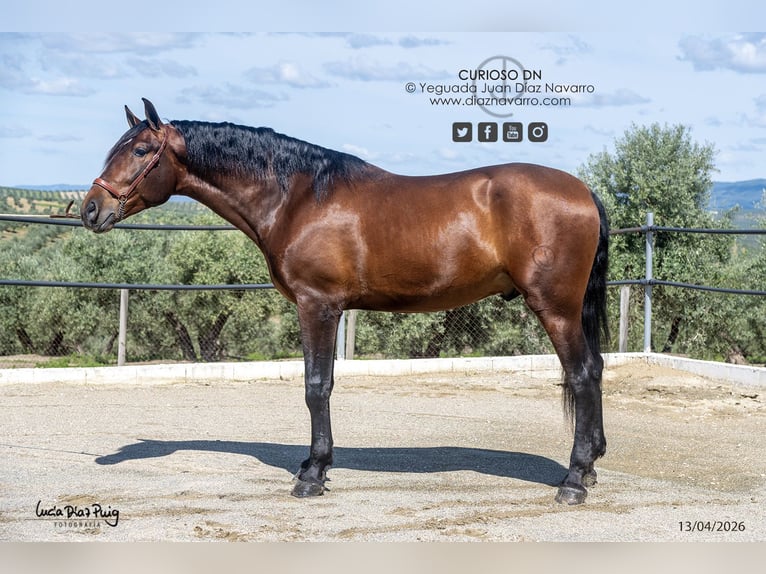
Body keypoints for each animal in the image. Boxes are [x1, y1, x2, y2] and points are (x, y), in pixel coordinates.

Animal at [81, 98, 609, 505]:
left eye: (141, 150)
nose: (90, 209)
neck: (296, 198)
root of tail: (583, 191)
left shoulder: (317, 306)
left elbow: (317, 387)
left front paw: (313, 474)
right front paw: (312, 465)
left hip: (556, 308)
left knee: (582, 376)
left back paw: (574, 480)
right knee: (597, 370)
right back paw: (591, 465)